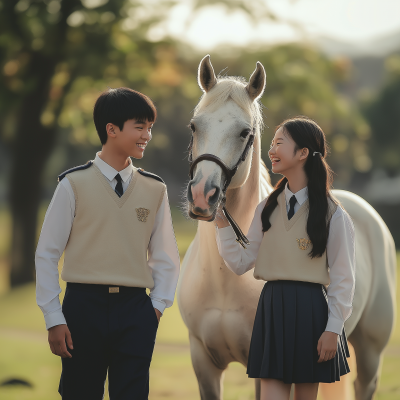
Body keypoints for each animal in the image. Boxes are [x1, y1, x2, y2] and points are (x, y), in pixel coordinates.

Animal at [179, 55, 396, 400]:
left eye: (245, 132)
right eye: (194, 126)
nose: (202, 196)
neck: (223, 281)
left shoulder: (263, 367)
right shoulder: (204, 363)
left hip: (370, 353)